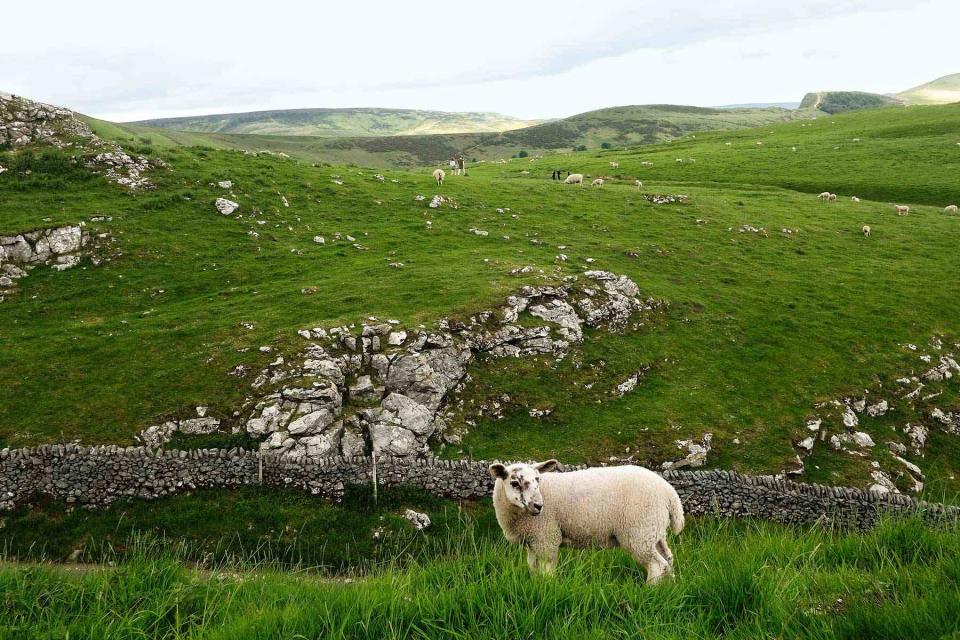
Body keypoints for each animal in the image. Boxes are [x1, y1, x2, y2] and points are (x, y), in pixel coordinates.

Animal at [492, 462, 688, 584]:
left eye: (537, 479)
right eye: (514, 483)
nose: (539, 506)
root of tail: (670, 494)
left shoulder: (546, 537)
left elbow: (546, 570)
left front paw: (547, 588)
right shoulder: (532, 541)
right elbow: (532, 568)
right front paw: (535, 585)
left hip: (639, 532)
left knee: (657, 565)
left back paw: (649, 590)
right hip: (654, 530)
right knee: (668, 559)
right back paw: (670, 586)